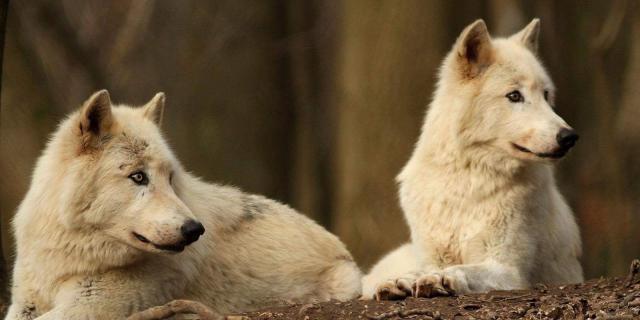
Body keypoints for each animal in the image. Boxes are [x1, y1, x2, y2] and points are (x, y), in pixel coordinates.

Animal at [5, 90, 362, 320]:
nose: (194, 230)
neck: (71, 252)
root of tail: (339, 246)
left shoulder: (88, 306)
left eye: (170, 178)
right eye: (138, 177)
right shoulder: (24, 302)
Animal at [362, 18, 584, 300]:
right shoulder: (432, 256)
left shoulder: (507, 269)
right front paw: (401, 281)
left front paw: (440, 278)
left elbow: (463, 268)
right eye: (514, 95)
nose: (569, 136)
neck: (466, 183)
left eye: (545, 95)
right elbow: (422, 269)